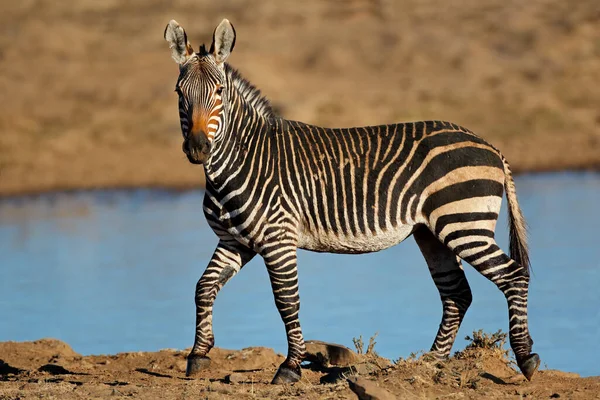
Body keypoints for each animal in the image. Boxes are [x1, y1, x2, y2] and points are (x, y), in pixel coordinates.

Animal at [163, 18, 540, 384]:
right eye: (179, 93)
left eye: (220, 92)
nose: (198, 149)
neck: (244, 159)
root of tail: (490, 146)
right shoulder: (234, 241)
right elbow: (204, 287)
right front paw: (198, 355)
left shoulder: (277, 239)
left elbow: (286, 302)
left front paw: (291, 366)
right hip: (433, 233)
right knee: (457, 293)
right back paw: (428, 364)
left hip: (464, 225)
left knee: (513, 276)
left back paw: (525, 358)